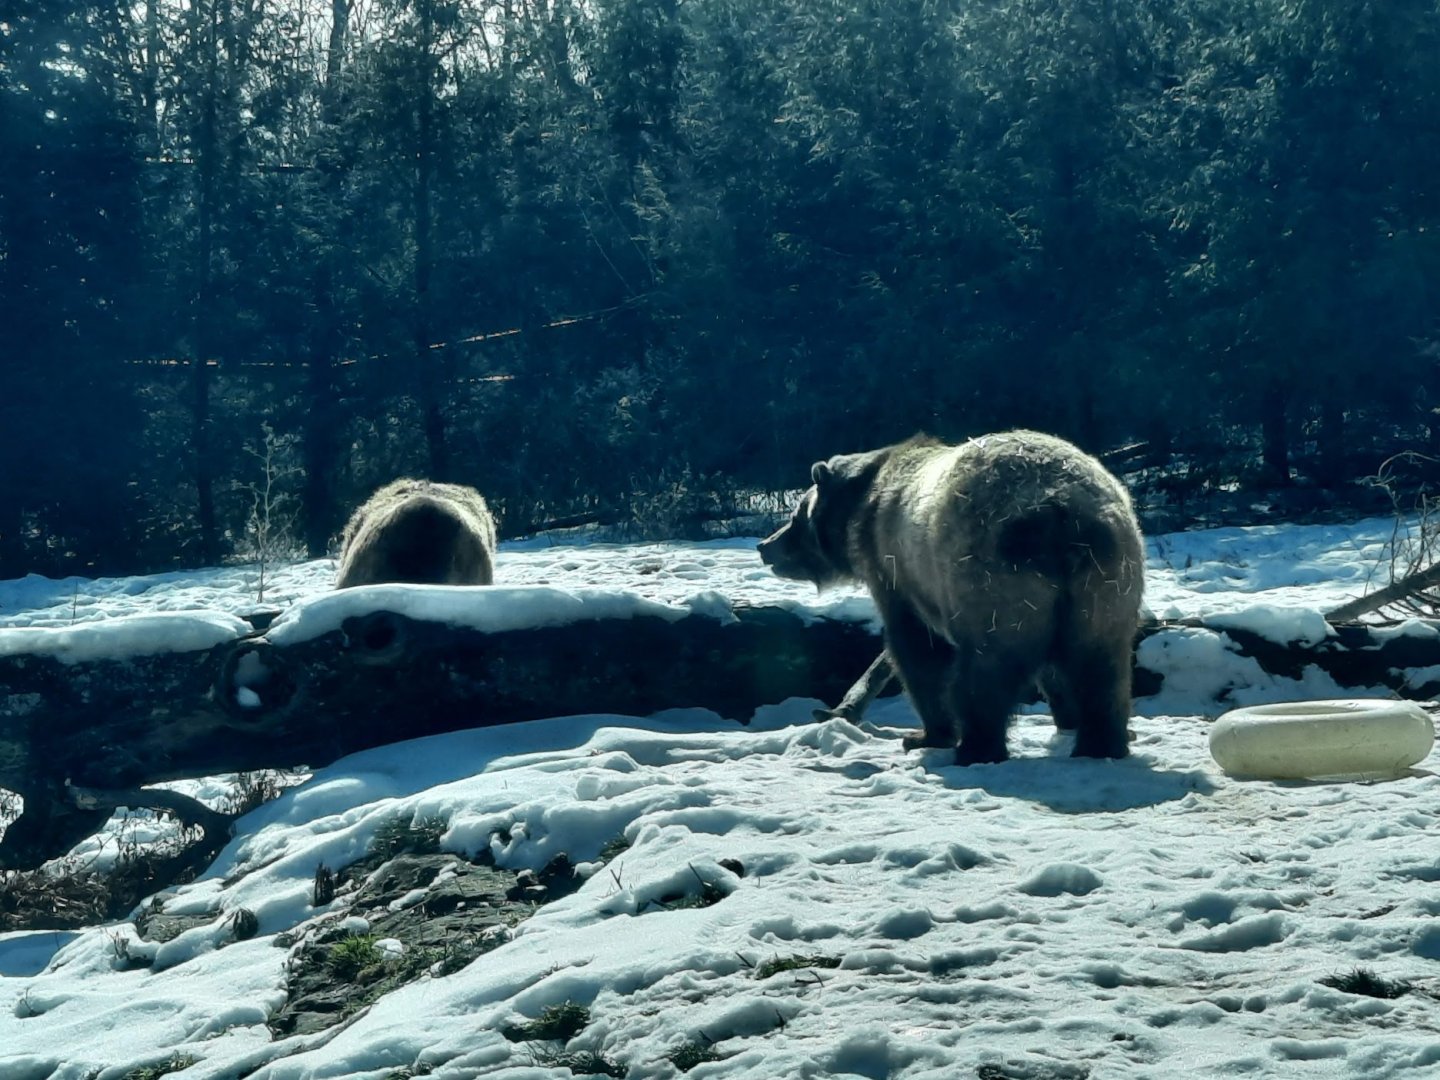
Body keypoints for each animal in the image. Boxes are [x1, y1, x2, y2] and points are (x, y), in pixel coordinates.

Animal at [758, 430, 1144, 764]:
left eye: (796, 514)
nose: (765, 546)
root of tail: (1060, 511)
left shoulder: (898, 571)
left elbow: (917, 650)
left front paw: (927, 734)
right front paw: (1067, 716)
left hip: (992, 578)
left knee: (986, 670)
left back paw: (977, 746)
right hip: (1107, 582)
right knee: (1102, 665)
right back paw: (1102, 742)